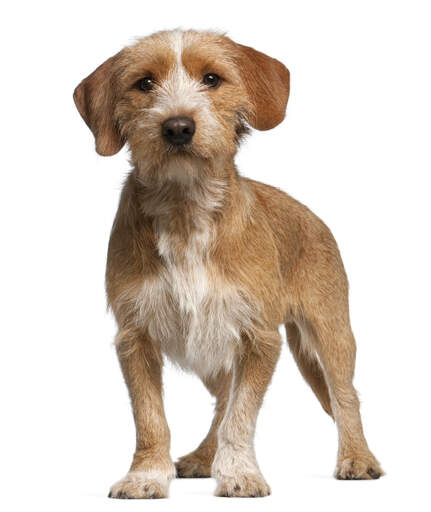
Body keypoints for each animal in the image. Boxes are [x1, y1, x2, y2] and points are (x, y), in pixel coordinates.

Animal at [74, 29, 384, 500]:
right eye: (144, 83)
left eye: (212, 79)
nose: (178, 126)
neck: (185, 211)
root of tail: (312, 215)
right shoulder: (136, 336)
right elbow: (151, 419)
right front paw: (146, 476)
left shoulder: (259, 338)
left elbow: (241, 414)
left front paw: (239, 473)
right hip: (210, 353)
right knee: (221, 398)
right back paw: (204, 458)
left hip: (331, 333)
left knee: (345, 396)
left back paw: (357, 458)